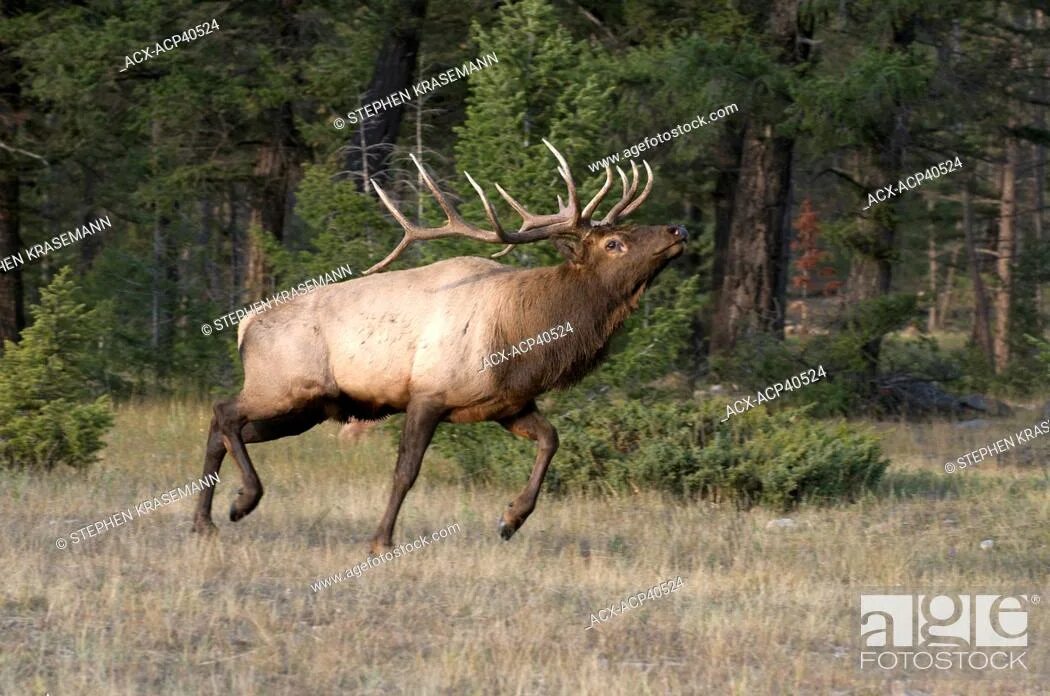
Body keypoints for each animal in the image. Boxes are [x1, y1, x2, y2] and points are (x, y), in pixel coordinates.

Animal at [195, 140, 688, 554]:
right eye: (614, 243)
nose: (678, 229)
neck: (522, 341)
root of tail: (244, 325)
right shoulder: (427, 394)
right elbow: (405, 471)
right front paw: (381, 541)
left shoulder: (507, 404)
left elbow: (551, 439)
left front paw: (510, 519)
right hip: (283, 387)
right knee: (224, 412)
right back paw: (242, 502)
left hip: (305, 410)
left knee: (227, 430)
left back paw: (206, 521)